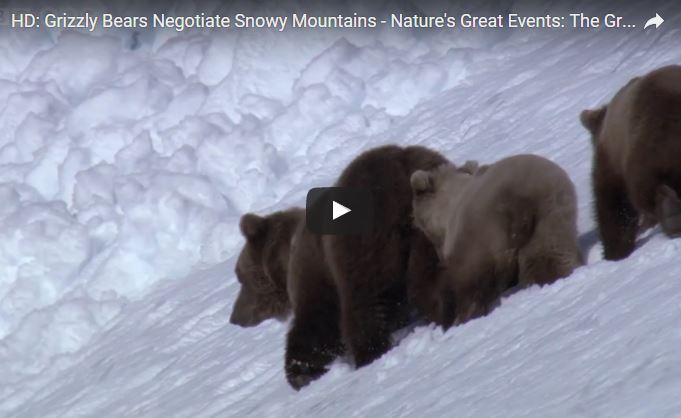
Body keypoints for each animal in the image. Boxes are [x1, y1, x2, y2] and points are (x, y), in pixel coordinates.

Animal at [230, 144, 447, 389]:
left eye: (240, 277)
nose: (235, 317)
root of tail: (401, 172)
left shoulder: (316, 268)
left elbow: (318, 320)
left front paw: (300, 369)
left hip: (363, 244)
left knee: (364, 305)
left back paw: (368, 354)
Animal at [410, 154, 582, 328]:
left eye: (421, 227)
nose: (441, 257)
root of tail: (518, 205)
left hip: (483, 235)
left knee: (471, 286)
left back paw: (463, 317)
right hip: (550, 214)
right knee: (548, 260)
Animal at [580, 65, 681, 260]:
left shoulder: (611, 159)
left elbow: (613, 205)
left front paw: (614, 251)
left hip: (645, 150)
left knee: (642, 192)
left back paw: (670, 214)